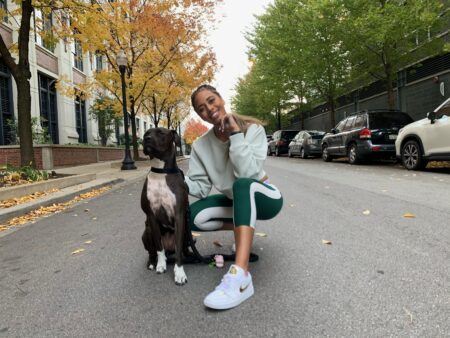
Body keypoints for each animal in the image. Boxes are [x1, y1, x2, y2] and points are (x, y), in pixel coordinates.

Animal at [142, 127, 189, 286]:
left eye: (161, 133)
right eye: (146, 133)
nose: (146, 139)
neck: (161, 172)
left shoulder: (179, 215)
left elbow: (179, 249)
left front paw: (179, 272)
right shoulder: (151, 216)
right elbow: (158, 248)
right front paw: (160, 265)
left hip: (187, 232)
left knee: (183, 248)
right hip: (146, 232)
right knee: (152, 251)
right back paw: (152, 262)